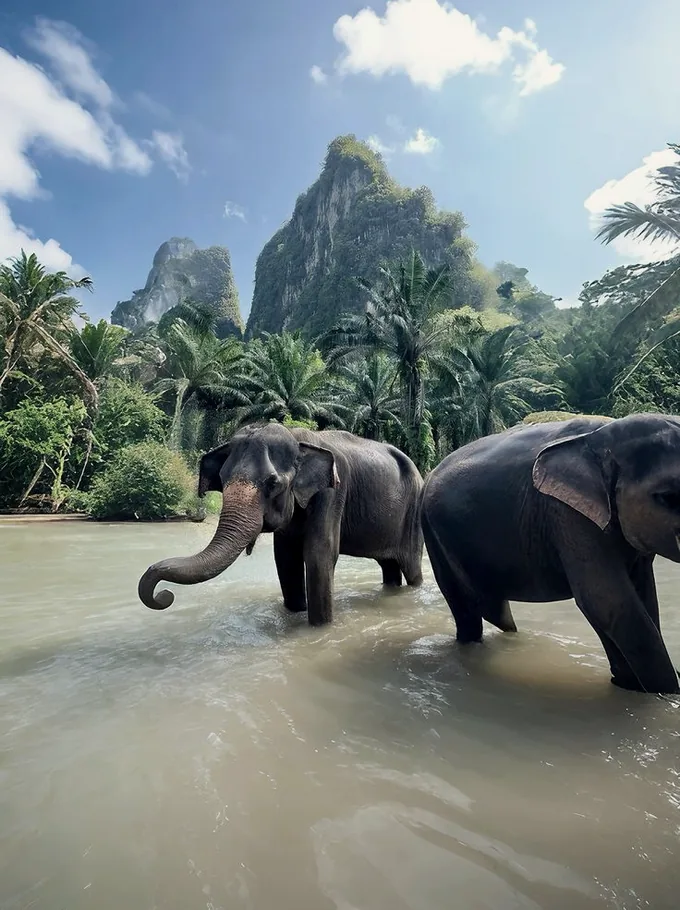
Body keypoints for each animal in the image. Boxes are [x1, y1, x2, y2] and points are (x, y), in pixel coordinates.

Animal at [138, 422, 424, 624]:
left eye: (272, 483)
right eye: (222, 477)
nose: (164, 595)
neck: (298, 439)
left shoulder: (332, 494)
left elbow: (319, 554)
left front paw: (321, 628)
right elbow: (286, 559)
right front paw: (295, 612)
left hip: (413, 514)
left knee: (411, 568)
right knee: (389, 566)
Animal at [420, 413, 680, 694]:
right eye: (667, 498)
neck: (603, 435)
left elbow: (644, 595)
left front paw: (626, 683)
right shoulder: (570, 517)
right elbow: (607, 602)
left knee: (499, 616)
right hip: (434, 534)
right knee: (467, 613)